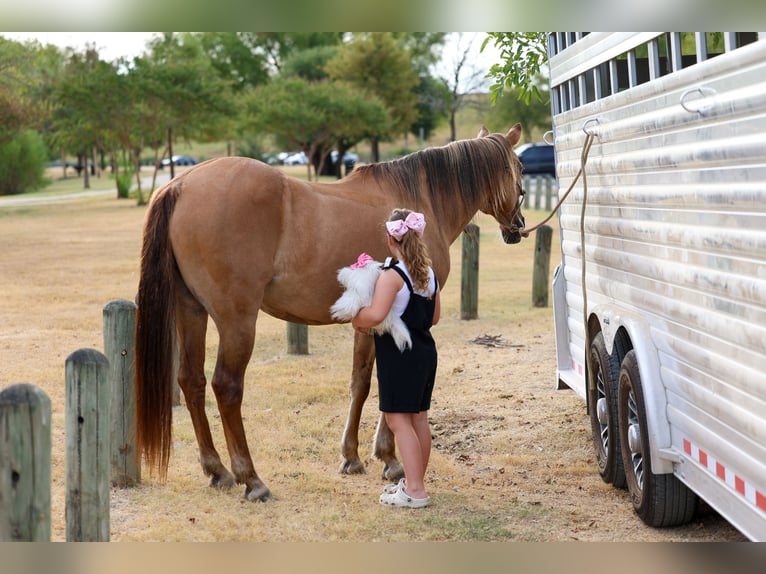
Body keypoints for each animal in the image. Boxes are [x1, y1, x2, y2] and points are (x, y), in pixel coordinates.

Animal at [134, 124, 527, 501]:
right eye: (520, 168)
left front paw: (353, 456)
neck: (424, 200)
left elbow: (361, 382)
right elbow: (385, 382)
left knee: (192, 381)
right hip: (237, 320)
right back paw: (252, 479)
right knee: (226, 387)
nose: (518, 226)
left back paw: (217, 471)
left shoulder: (368, 321)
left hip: (191, 311)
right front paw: (390, 459)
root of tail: (180, 185)